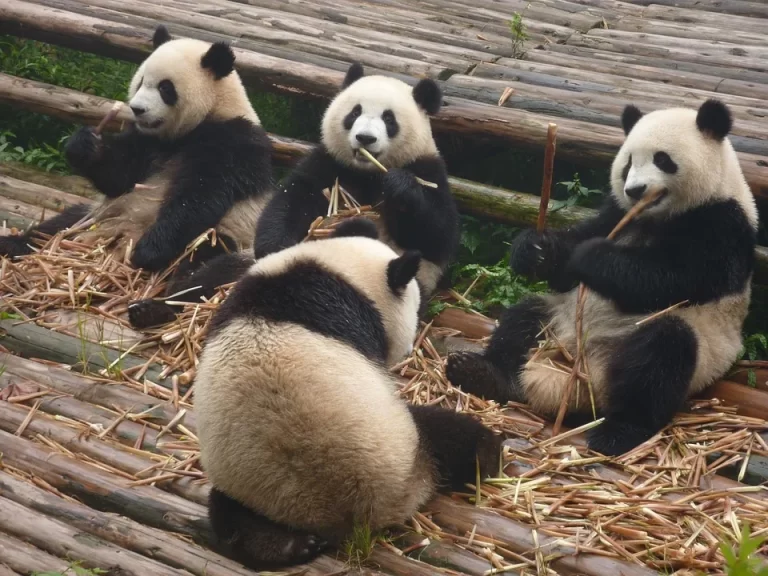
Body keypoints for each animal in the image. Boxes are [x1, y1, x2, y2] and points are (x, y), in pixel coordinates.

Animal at [0, 26, 274, 317]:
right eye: (141, 81)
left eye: (166, 88)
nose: (137, 109)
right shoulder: (147, 142)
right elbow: (119, 177)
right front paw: (85, 145)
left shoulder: (233, 143)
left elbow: (199, 196)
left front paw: (147, 251)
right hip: (97, 215)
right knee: (59, 225)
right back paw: (13, 243)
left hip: (233, 236)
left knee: (206, 267)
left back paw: (152, 309)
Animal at [194, 218, 500, 570]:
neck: (341, 270)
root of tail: (350, 511)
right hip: (407, 445)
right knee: (449, 433)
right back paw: (489, 454)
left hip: (251, 487)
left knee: (229, 515)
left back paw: (284, 546)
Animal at [253, 62, 459, 301]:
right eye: (355, 112)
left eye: (389, 119)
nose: (365, 138)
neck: (367, 173)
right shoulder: (330, 163)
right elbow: (293, 199)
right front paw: (275, 247)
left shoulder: (428, 169)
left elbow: (437, 236)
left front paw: (399, 185)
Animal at [446, 100, 758, 456]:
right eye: (628, 163)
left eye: (662, 159)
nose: (635, 190)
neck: (655, 216)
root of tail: (578, 376)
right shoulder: (616, 212)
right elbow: (571, 260)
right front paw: (535, 250)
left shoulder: (721, 224)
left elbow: (672, 279)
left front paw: (590, 257)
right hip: (558, 321)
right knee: (523, 318)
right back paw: (482, 373)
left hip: (694, 351)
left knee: (661, 356)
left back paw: (617, 432)